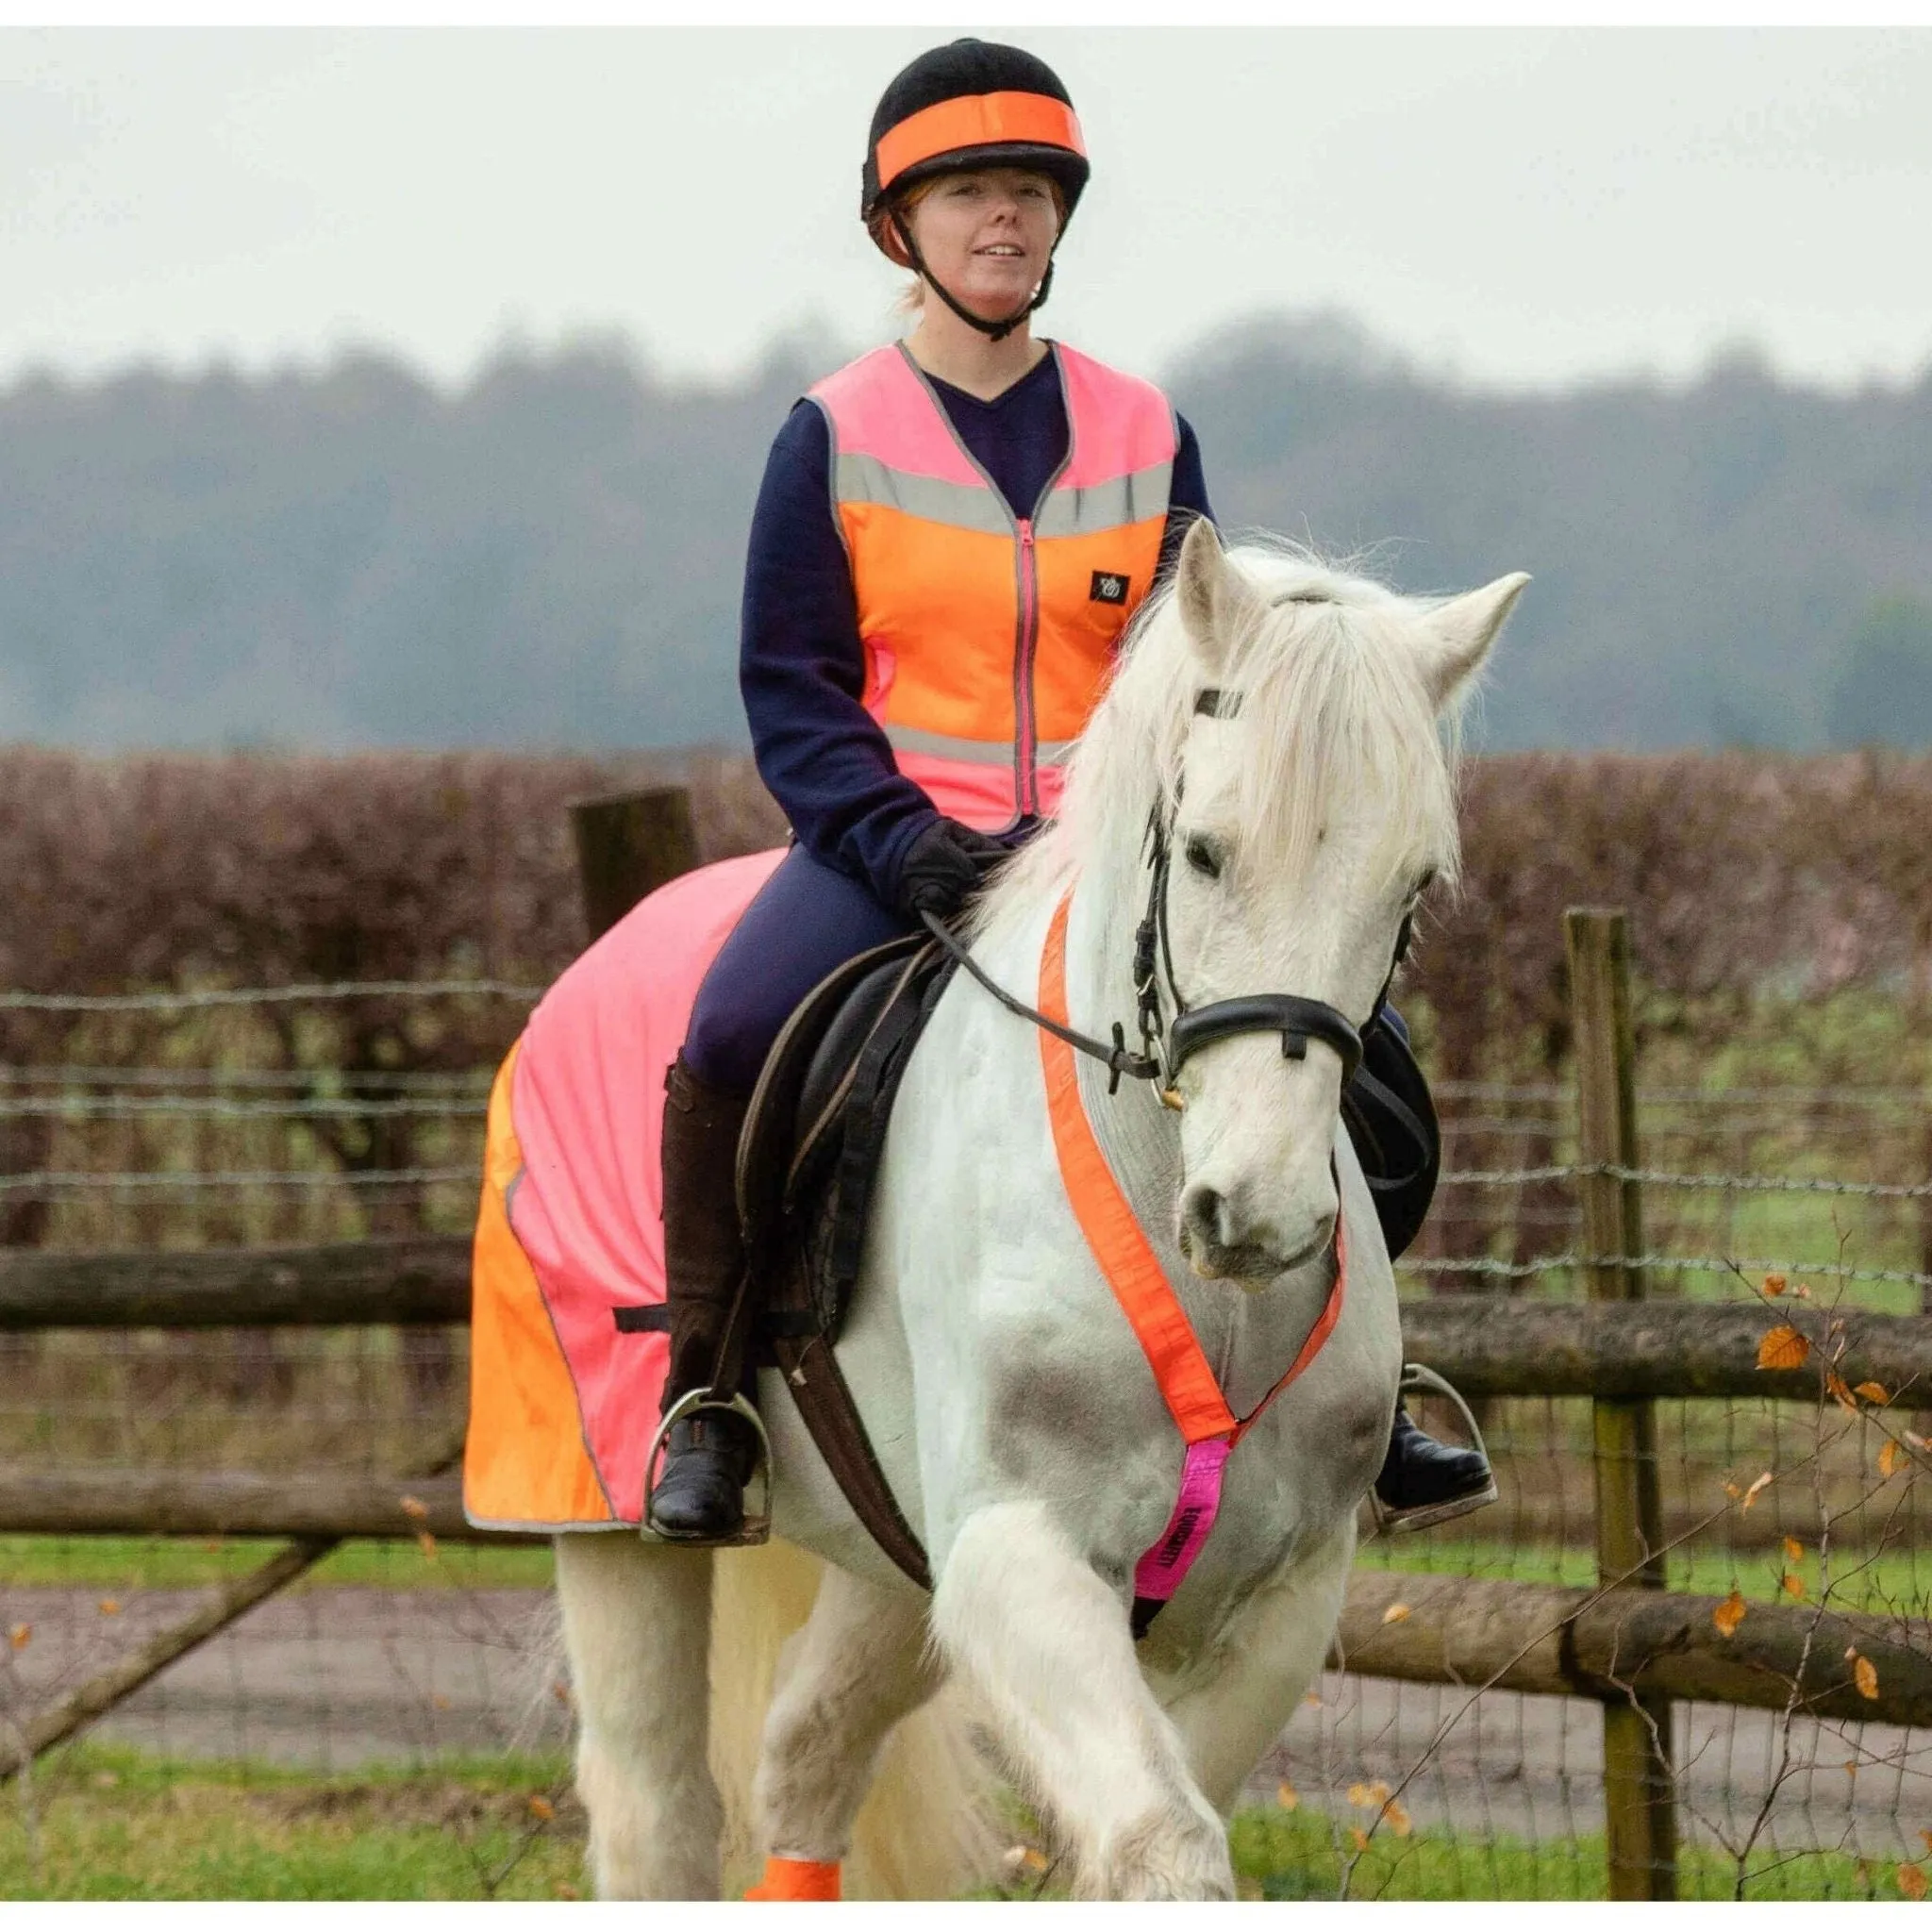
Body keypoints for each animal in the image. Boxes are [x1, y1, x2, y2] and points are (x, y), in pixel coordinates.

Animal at [548, 525, 1522, 1901]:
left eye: (1413, 886)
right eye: (1207, 850)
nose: (1258, 1212)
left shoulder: (1278, 1595)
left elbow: (1160, 1824)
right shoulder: (1021, 1554)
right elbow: (1164, 1840)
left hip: (896, 1565)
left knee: (806, 1755)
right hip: (611, 1530)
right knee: (655, 1811)